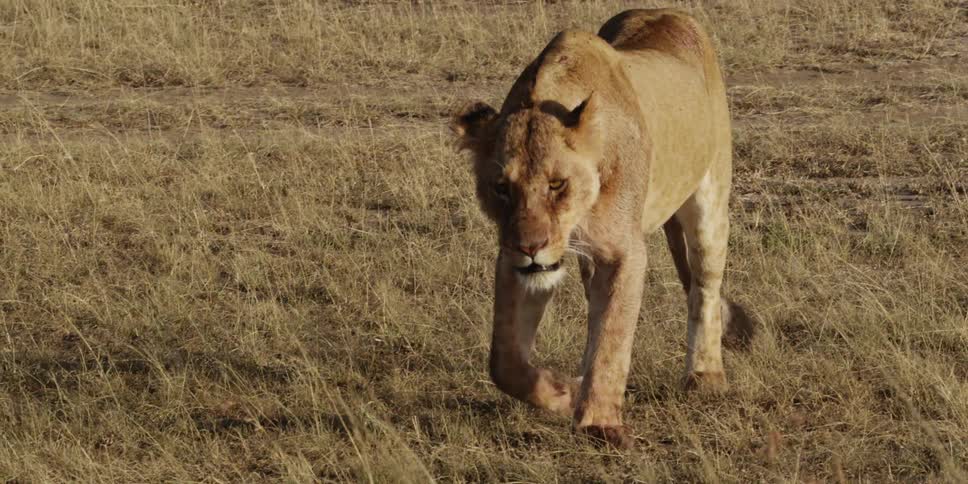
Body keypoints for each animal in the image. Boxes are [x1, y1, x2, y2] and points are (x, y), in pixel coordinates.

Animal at [452, 9, 754, 448]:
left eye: (556, 184)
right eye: (501, 188)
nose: (531, 247)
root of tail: (671, 12)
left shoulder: (625, 253)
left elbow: (613, 338)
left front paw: (599, 423)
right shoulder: (513, 259)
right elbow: (504, 360)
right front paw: (563, 393)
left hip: (710, 201)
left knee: (704, 290)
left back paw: (706, 376)